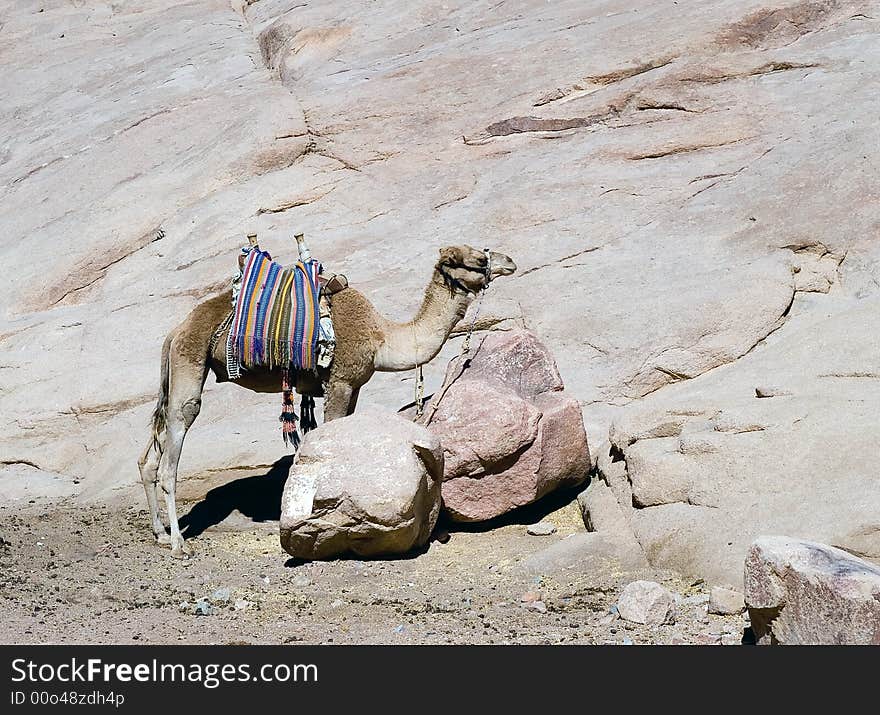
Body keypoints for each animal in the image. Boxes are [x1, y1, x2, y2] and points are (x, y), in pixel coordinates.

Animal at [138, 246, 516, 560]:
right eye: (478, 259)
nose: (510, 261)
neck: (382, 338)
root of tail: (176, 330)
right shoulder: (341, 380)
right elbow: (330, 434)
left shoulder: (354, 387)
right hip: (190, 361)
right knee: (174, 447)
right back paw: (179, 544)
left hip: (176, 369)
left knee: (150, 455)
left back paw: (160, 534)